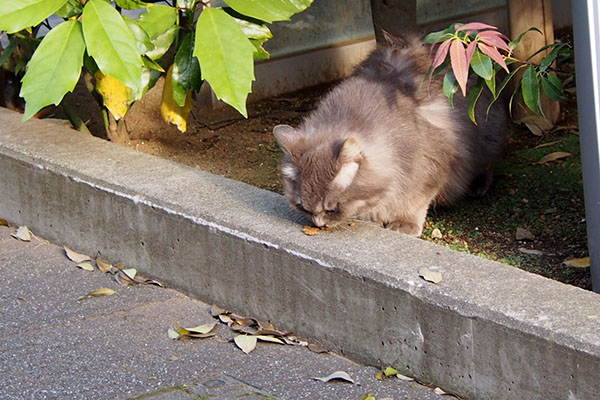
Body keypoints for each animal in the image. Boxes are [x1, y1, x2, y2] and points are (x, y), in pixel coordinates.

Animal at [274, 35, 508, 234]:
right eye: (303, 208)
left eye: (332, 208)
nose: (319, 224)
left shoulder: (429, 169)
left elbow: (414, 204)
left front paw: (403, 223)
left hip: (488, 141)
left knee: (487, 167)